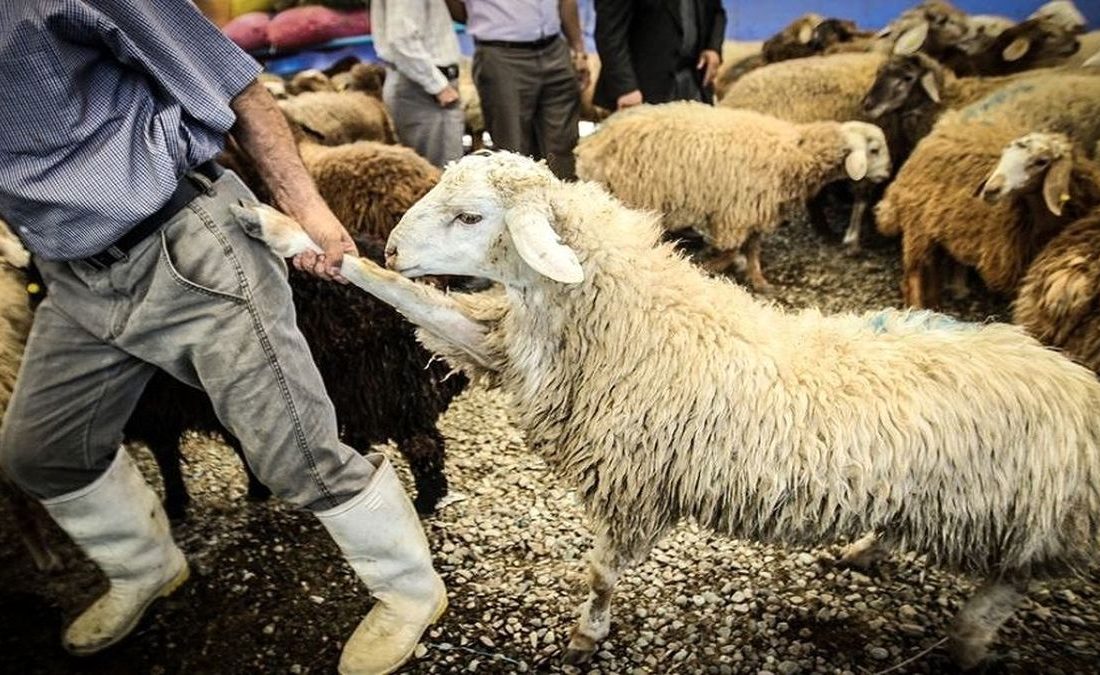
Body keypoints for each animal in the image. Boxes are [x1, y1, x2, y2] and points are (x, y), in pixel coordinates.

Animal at [245, 151, 1100, 672]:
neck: (633, 319)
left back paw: (967, 642)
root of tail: (1073, 385)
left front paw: (585, 633)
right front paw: (283, 230)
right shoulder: (503, 349)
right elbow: (395, 294)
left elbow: (598, 571)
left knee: (1002, 592)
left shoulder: (636, 486)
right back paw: (866, 551)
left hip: (1027, 523)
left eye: (471, 218)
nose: (392, 244)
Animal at [572, 103, 888, 290]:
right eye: (874, 150)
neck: (792, 153)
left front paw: (759, 279)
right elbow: (732, 249)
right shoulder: (736, 212)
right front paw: (709, 267)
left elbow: (752, 248)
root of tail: (590, 144)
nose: (886, 176)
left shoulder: (757, 210)